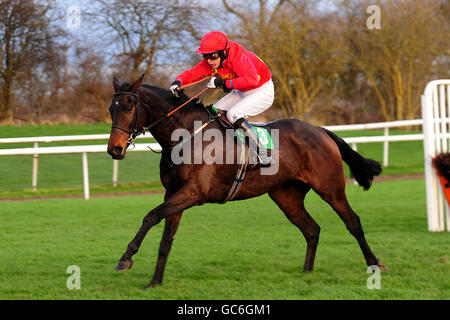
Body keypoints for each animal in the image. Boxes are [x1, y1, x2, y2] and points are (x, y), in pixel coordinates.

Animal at [105, 74, 384, 288]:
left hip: (330, 188)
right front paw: (155, 281)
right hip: (286, 196)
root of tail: (319, 130)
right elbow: (165, 240)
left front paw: (126, 258)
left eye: (128, 107)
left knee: (353, 222)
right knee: (312, 229)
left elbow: (150, 216)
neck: (185, 136)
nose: (114, 149)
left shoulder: (194, 193)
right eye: (111, 109)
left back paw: (374, 263)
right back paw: (307, 272)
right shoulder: (173, 193)